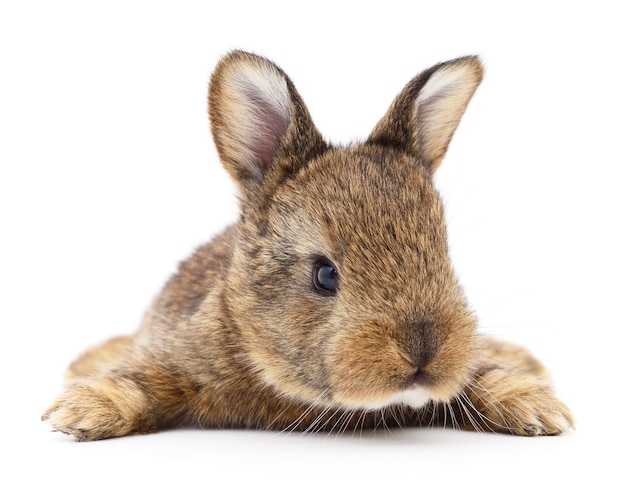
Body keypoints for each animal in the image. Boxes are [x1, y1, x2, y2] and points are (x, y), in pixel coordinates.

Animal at [41, 51, 572, 442]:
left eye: (444, 256)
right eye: (324, 274)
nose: (423, 352)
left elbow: (485, 374)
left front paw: (538, 407)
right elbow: (136, 379)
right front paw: (80, 412)